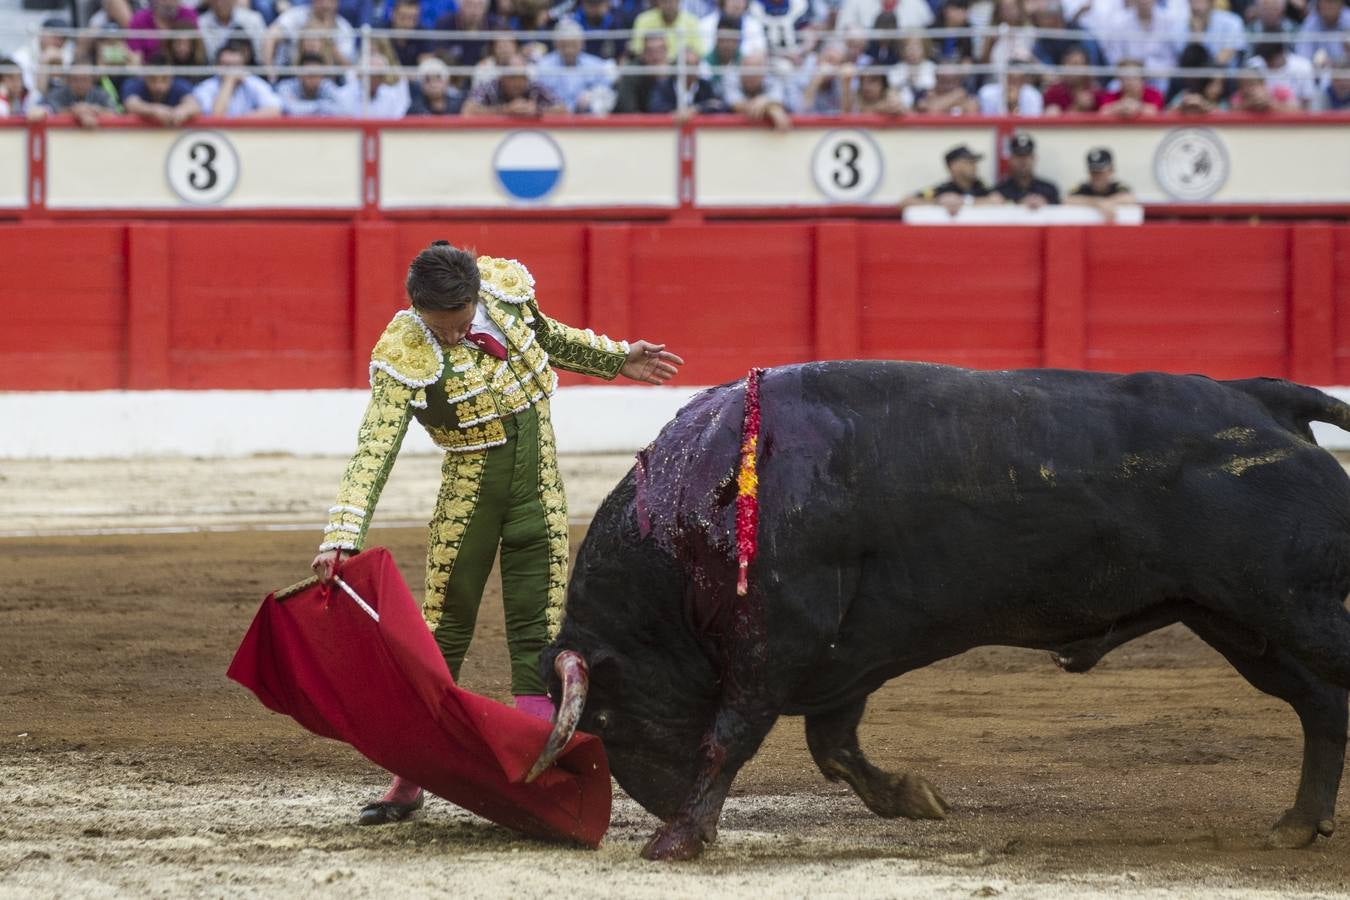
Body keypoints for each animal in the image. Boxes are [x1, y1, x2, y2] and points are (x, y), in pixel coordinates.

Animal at [531, 361, 1350, 863]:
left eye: (604, 720)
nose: (666, 807)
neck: (694, 505)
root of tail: (1260, 395)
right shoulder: (843, 656)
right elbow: (835, 746)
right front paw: (915, 798)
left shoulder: (777, 642)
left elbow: (729, 736)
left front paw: (679, 839)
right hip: (1241, 624)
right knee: (1321, 705)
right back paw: (1296, 824)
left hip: (1290, 609)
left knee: (1329, 694)